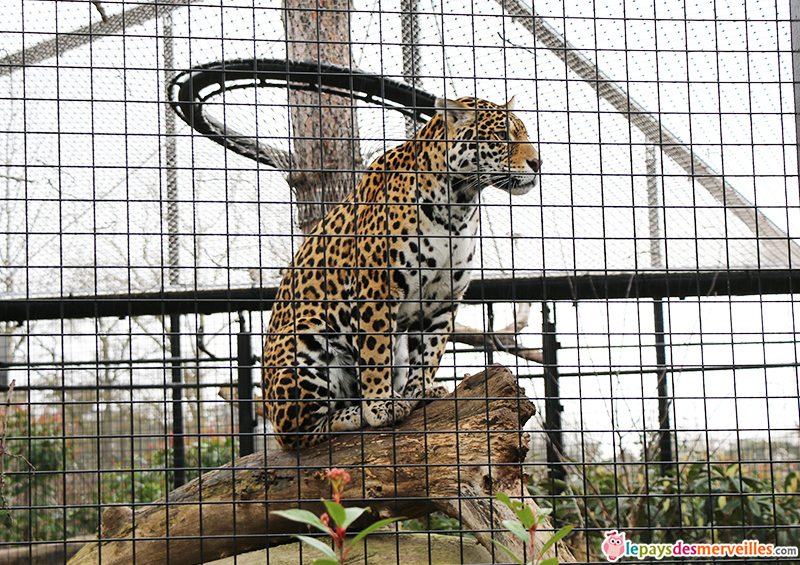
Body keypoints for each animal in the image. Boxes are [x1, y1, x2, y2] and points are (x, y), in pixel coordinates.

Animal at [266, 97, 540, 450]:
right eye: (503, 136)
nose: (538, 163)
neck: (459, 204)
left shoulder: (444, 299)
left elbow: (430, 352)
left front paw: (419, 390)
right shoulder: (376, 288)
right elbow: (375, 354)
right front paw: (380, 406)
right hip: (306, 339)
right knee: (296, 432)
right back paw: (353, 413)